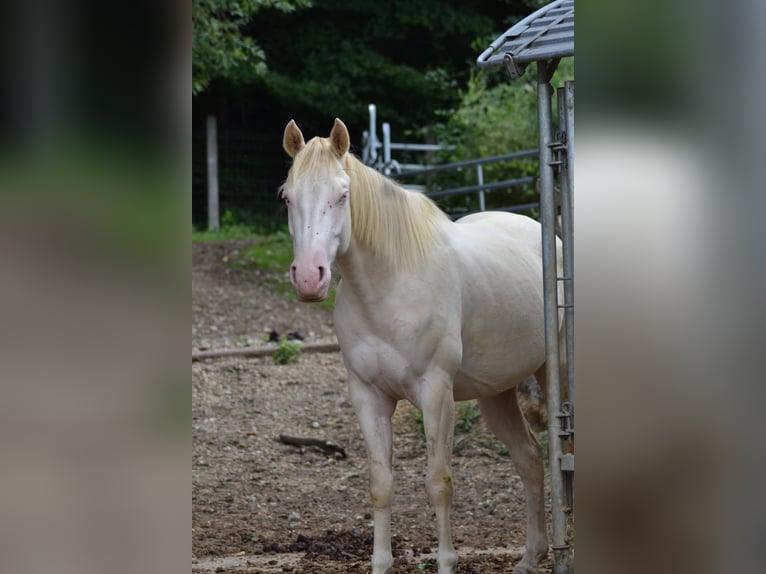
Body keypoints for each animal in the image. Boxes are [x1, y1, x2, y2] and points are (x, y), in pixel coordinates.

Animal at [280, 118, 561, 574]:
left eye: (343, 194)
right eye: (286, 197)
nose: (308, 277)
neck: (389, 287)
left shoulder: (436, 393)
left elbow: (438, 482)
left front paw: (446, 562)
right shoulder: (368, 396)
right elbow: (380, 484)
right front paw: (380, 564)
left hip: (556, 371)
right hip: (497, 394)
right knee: (530, 460)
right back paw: (529, 558)